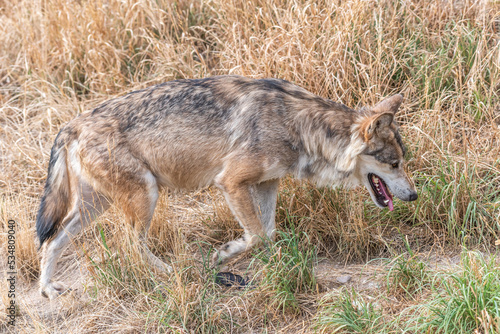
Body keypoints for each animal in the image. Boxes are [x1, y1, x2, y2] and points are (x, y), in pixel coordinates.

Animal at [36, 76, 418, 300]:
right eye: (394, 164)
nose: (414, 195)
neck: (299, 127)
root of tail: (71, 125)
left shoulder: (266, 182)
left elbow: (268, 231)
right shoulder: (231, 182)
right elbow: (256, 236)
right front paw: (225, 257)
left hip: (94, 207)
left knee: (54, 242)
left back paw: (47, 289)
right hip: (145, 195)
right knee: (128, 245)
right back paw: (173, 274)